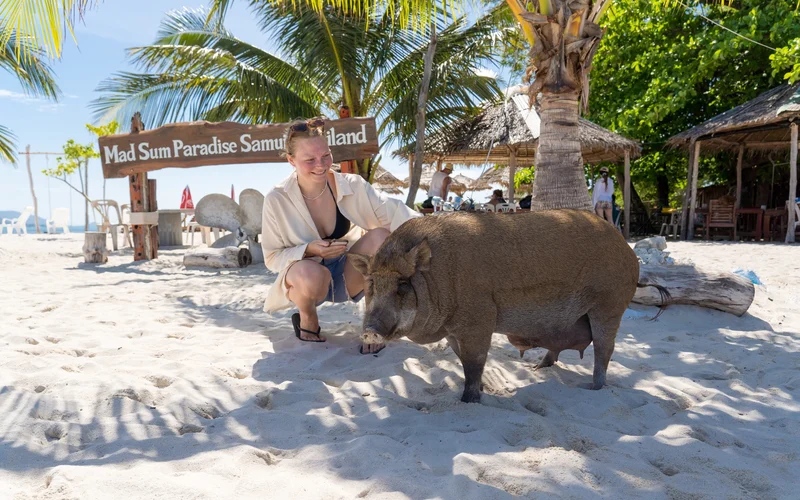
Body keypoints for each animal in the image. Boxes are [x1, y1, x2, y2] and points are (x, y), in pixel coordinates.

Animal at [348, 209, 666, 403]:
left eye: (403, 284)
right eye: (372, 283)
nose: (370, 330)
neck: (441, 275)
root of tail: (628, 251)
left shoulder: (480, 318)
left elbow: (474, 362)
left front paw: (469, 400)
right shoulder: (453, 330)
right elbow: (462, 361)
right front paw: (478, 391)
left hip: (609, 305)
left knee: (604, 349)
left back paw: (594, 388)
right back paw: (538, 369)